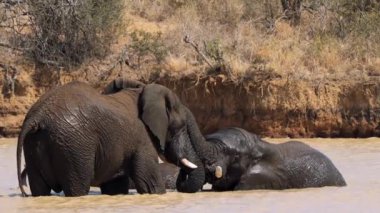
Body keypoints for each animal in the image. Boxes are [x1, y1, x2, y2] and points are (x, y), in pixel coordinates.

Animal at [17, 79, 205, 197]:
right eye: (181, 127)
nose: (182, 177)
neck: (145, 91)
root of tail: (39, 115)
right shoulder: (142, 138)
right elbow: (150, 184)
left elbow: (115, 188)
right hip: (73, 146)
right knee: (77, 187)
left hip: (34, 144)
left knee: (39, 188)